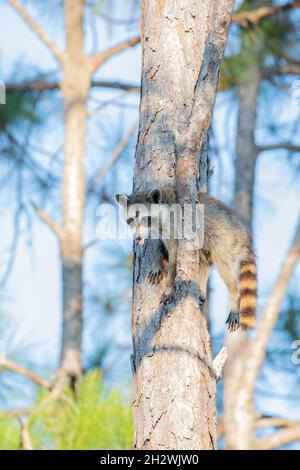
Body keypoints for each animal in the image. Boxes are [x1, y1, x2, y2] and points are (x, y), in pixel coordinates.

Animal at [116, 187, 256, 330]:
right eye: (130, 219)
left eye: (146, 218)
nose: (137, 237)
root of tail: (245, 236)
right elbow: (160, 244)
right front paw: (158, 262)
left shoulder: (173, 225)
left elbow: (173, 254)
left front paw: (168, 289)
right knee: (203, 261)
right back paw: (202, 291)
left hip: (226, 240)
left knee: (223, 265)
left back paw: (235, 297)